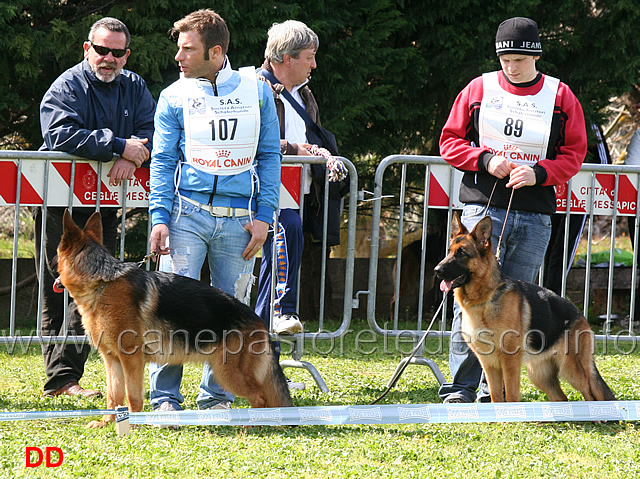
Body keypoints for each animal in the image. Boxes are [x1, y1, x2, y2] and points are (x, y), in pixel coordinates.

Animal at [56, 210, 294, 428]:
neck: (102, 283)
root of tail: (258, 320)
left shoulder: (131, 359)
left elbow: (132, 397)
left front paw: (131, 426)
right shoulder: (112, 359)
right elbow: (113, 397)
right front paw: (107, 422)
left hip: (228, 372)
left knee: (260, 398)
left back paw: (250, 427)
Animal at [436, 212, 616, 404]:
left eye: (462, 253)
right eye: (449, 252)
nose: (436, 270)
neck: (485, 298)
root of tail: (579, 313)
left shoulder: (509, 361)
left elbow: (511, 395)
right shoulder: (489, 364)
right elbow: (495, 396)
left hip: (572, 370)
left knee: (592, 394)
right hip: (539, 374)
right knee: (562, 398)